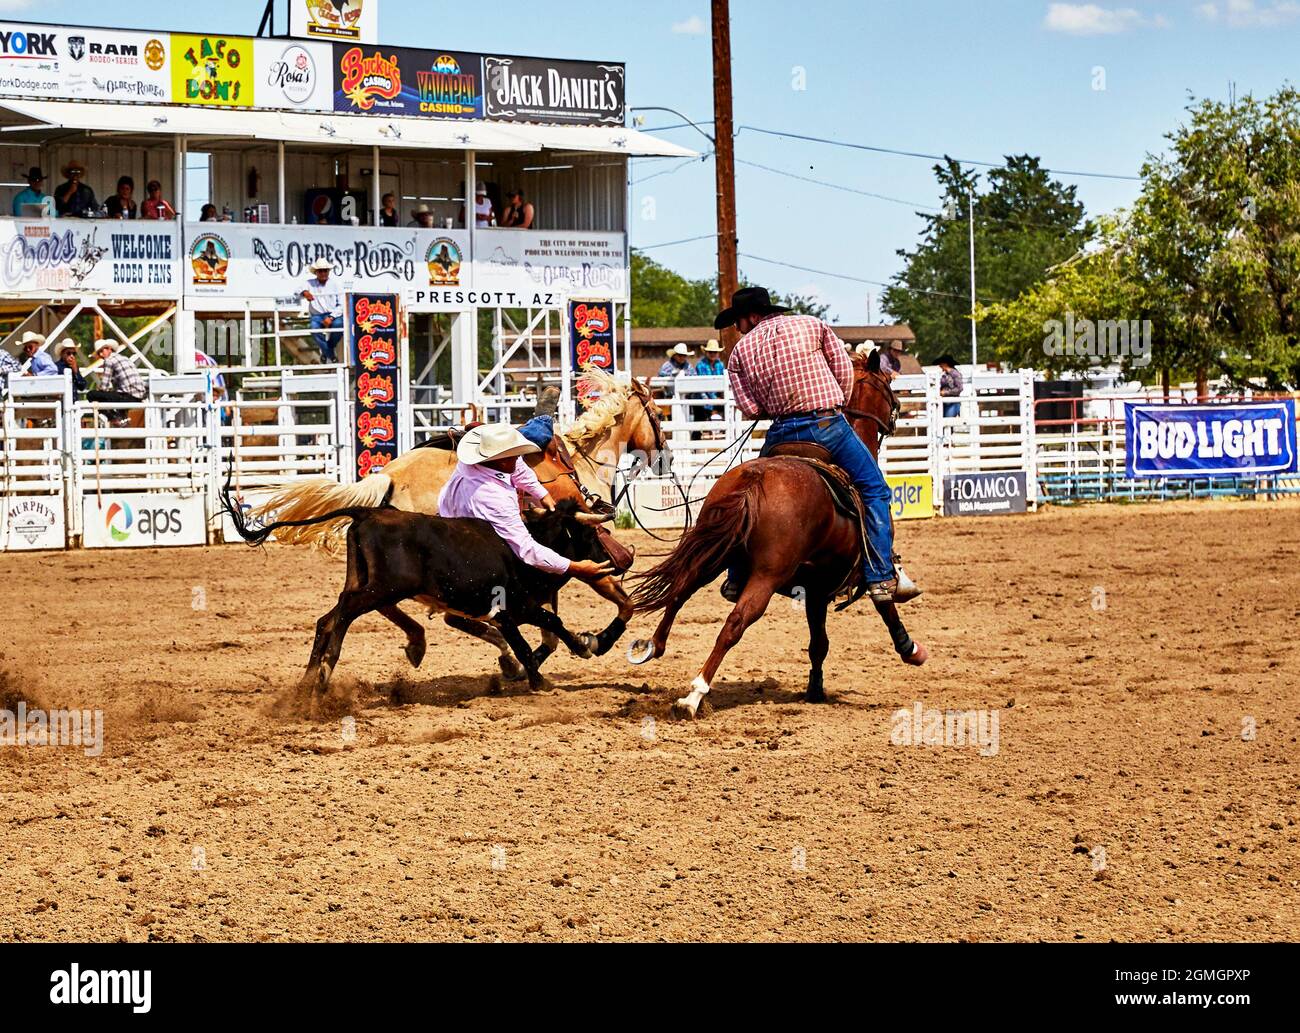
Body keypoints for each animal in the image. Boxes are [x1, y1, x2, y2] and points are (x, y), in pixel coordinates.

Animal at [245, 368, 670, 677]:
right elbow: (622, 603)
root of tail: (388, 476)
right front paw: (594, 642)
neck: (579, 461)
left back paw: (432, 644)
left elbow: (549, 626)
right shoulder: (581, 557)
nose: (664, 453)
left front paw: (533, 657)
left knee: (389, 607)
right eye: (658, 413)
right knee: (417, 609)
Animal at [628, 356, 925, 718]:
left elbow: (818, 644)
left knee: (681, 590)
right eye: (887, 382)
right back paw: (694, 695)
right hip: (767, 575)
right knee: (735, 622)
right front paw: (909, 647)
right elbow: (881, 602)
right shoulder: (831, 583)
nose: (899, 409)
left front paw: (815, 689)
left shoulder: (816, 589)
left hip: (714, 553)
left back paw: (652, 646)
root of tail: (755, 479)